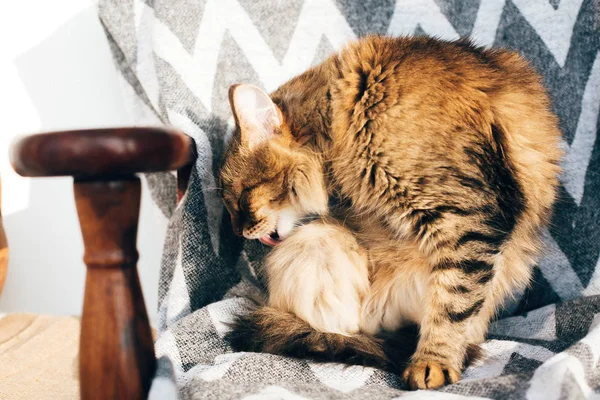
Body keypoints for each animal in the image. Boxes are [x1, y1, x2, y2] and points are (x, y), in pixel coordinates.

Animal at [220, 35, 564, 390]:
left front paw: (433, 363)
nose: (238, 231)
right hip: (319, 243)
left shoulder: (464, 220)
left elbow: (452, 305)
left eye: (241, 199)